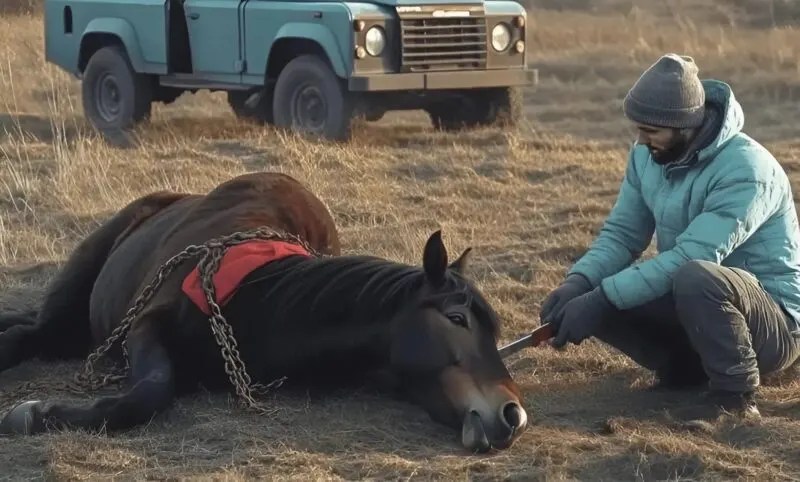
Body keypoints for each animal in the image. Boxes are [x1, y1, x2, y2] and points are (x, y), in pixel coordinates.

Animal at [0, 171, 528, 453]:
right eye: (456, 319)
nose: (512, 414)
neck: (263, 303)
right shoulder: (146, 325)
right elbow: (149, 392)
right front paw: (35, 414)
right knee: (32, 333)